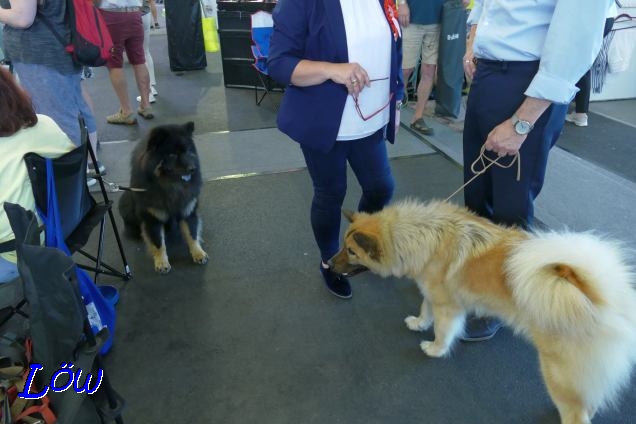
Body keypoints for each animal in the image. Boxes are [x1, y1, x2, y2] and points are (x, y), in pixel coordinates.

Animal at [118, 121, 209, 274]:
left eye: (187, 151)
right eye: (172, 155)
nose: (192, 168)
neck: (171, 187)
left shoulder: (187, 210)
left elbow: (192, 234)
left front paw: (198, 253)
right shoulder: (152, 218)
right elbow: (158, 243)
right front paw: (161, 262)